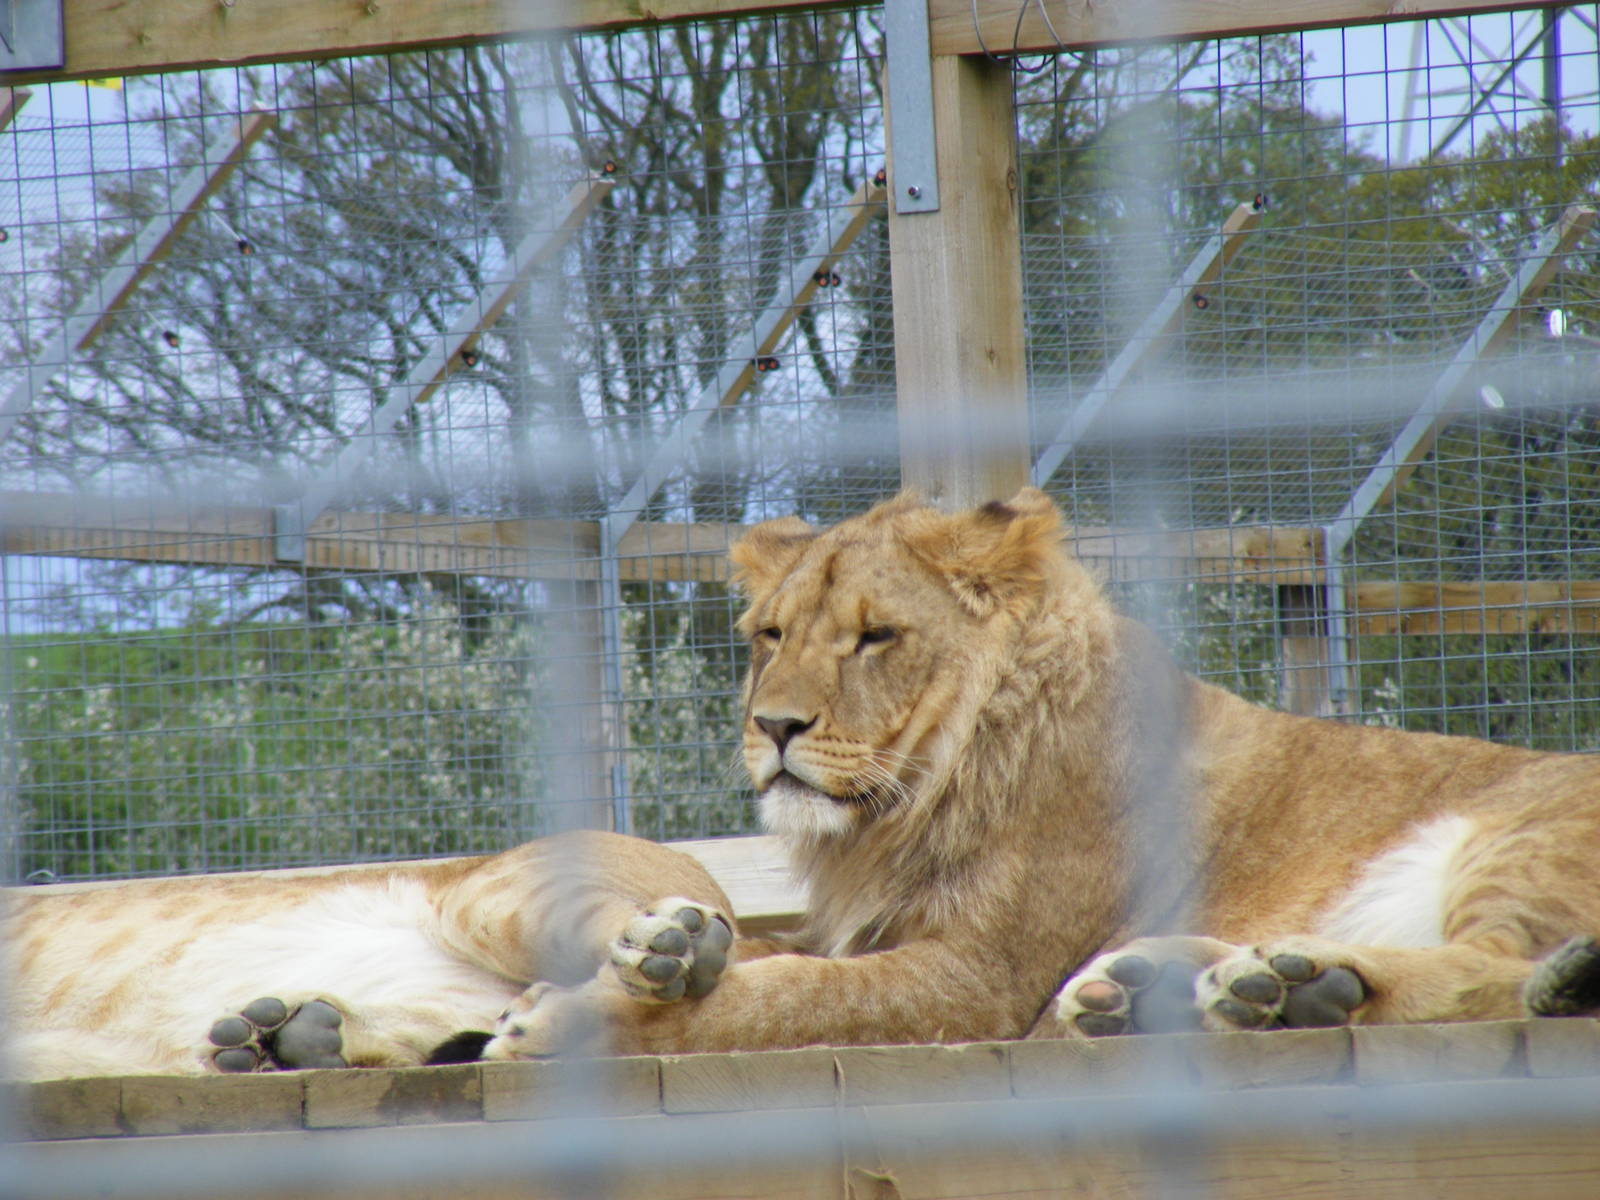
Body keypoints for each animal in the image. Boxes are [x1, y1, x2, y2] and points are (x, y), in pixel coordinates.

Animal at [481, 488, 1600, 1059]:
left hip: (1517, 838)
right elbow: (764, 960)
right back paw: (1206, 988)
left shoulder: (975, 979)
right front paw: (664, 948)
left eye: (875, 638)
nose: (774, 726)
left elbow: (790, 997)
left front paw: (566, 1019)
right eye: (770, 635)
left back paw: (1298, 990)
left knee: (1494, 969)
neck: (913, 797)